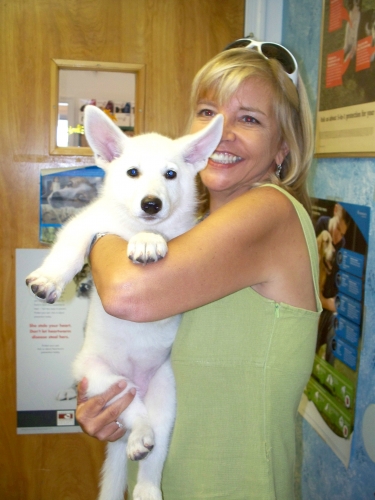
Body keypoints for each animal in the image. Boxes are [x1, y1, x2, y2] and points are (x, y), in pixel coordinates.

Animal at [26, 106, 223, 500]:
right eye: (132, 172)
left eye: (171, 174)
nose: (152, 204)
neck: (131, 227)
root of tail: (138, 384)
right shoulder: (87, 224)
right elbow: (69, 250)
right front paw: (48, 280)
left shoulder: (184, 237)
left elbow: (159, 235)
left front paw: (149, 241)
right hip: (100, 376)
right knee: (133, 410)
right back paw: (137, 438)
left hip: (166, 389)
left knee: (154, 441)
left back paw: (145, 473)